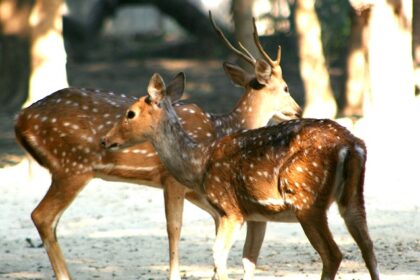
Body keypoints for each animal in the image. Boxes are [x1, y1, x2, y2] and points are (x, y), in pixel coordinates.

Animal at [13, 12, 302, 278]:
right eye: (286, 88)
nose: (298, 110)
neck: (221, 128)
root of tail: (20, 120)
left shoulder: (200, 190)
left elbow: (216, 224)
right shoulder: (172, 180)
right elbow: (175, 227)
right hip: (72, 165)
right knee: (42, 216)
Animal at [102, 69, 380, 278]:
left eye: (130, 113)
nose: (105, 140)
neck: (199, 163)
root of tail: (351, 144)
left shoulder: (230, 209)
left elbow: (219, 257)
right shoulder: (255, 213)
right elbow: (247, 260)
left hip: (306, 199)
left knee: (333, 254)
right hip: (353, 197)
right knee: (368, 248)